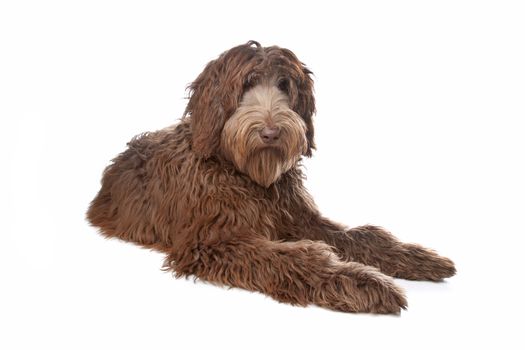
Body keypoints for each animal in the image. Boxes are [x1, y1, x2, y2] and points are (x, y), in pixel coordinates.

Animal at [86, 41, 454, 314]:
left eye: (284, 85)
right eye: (246, 84)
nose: (271, 132)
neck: (249, 177)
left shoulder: (299, 218)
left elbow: (363, 236)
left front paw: (417, 258)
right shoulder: (211, 242)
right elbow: (293, 256)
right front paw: (363, 282)